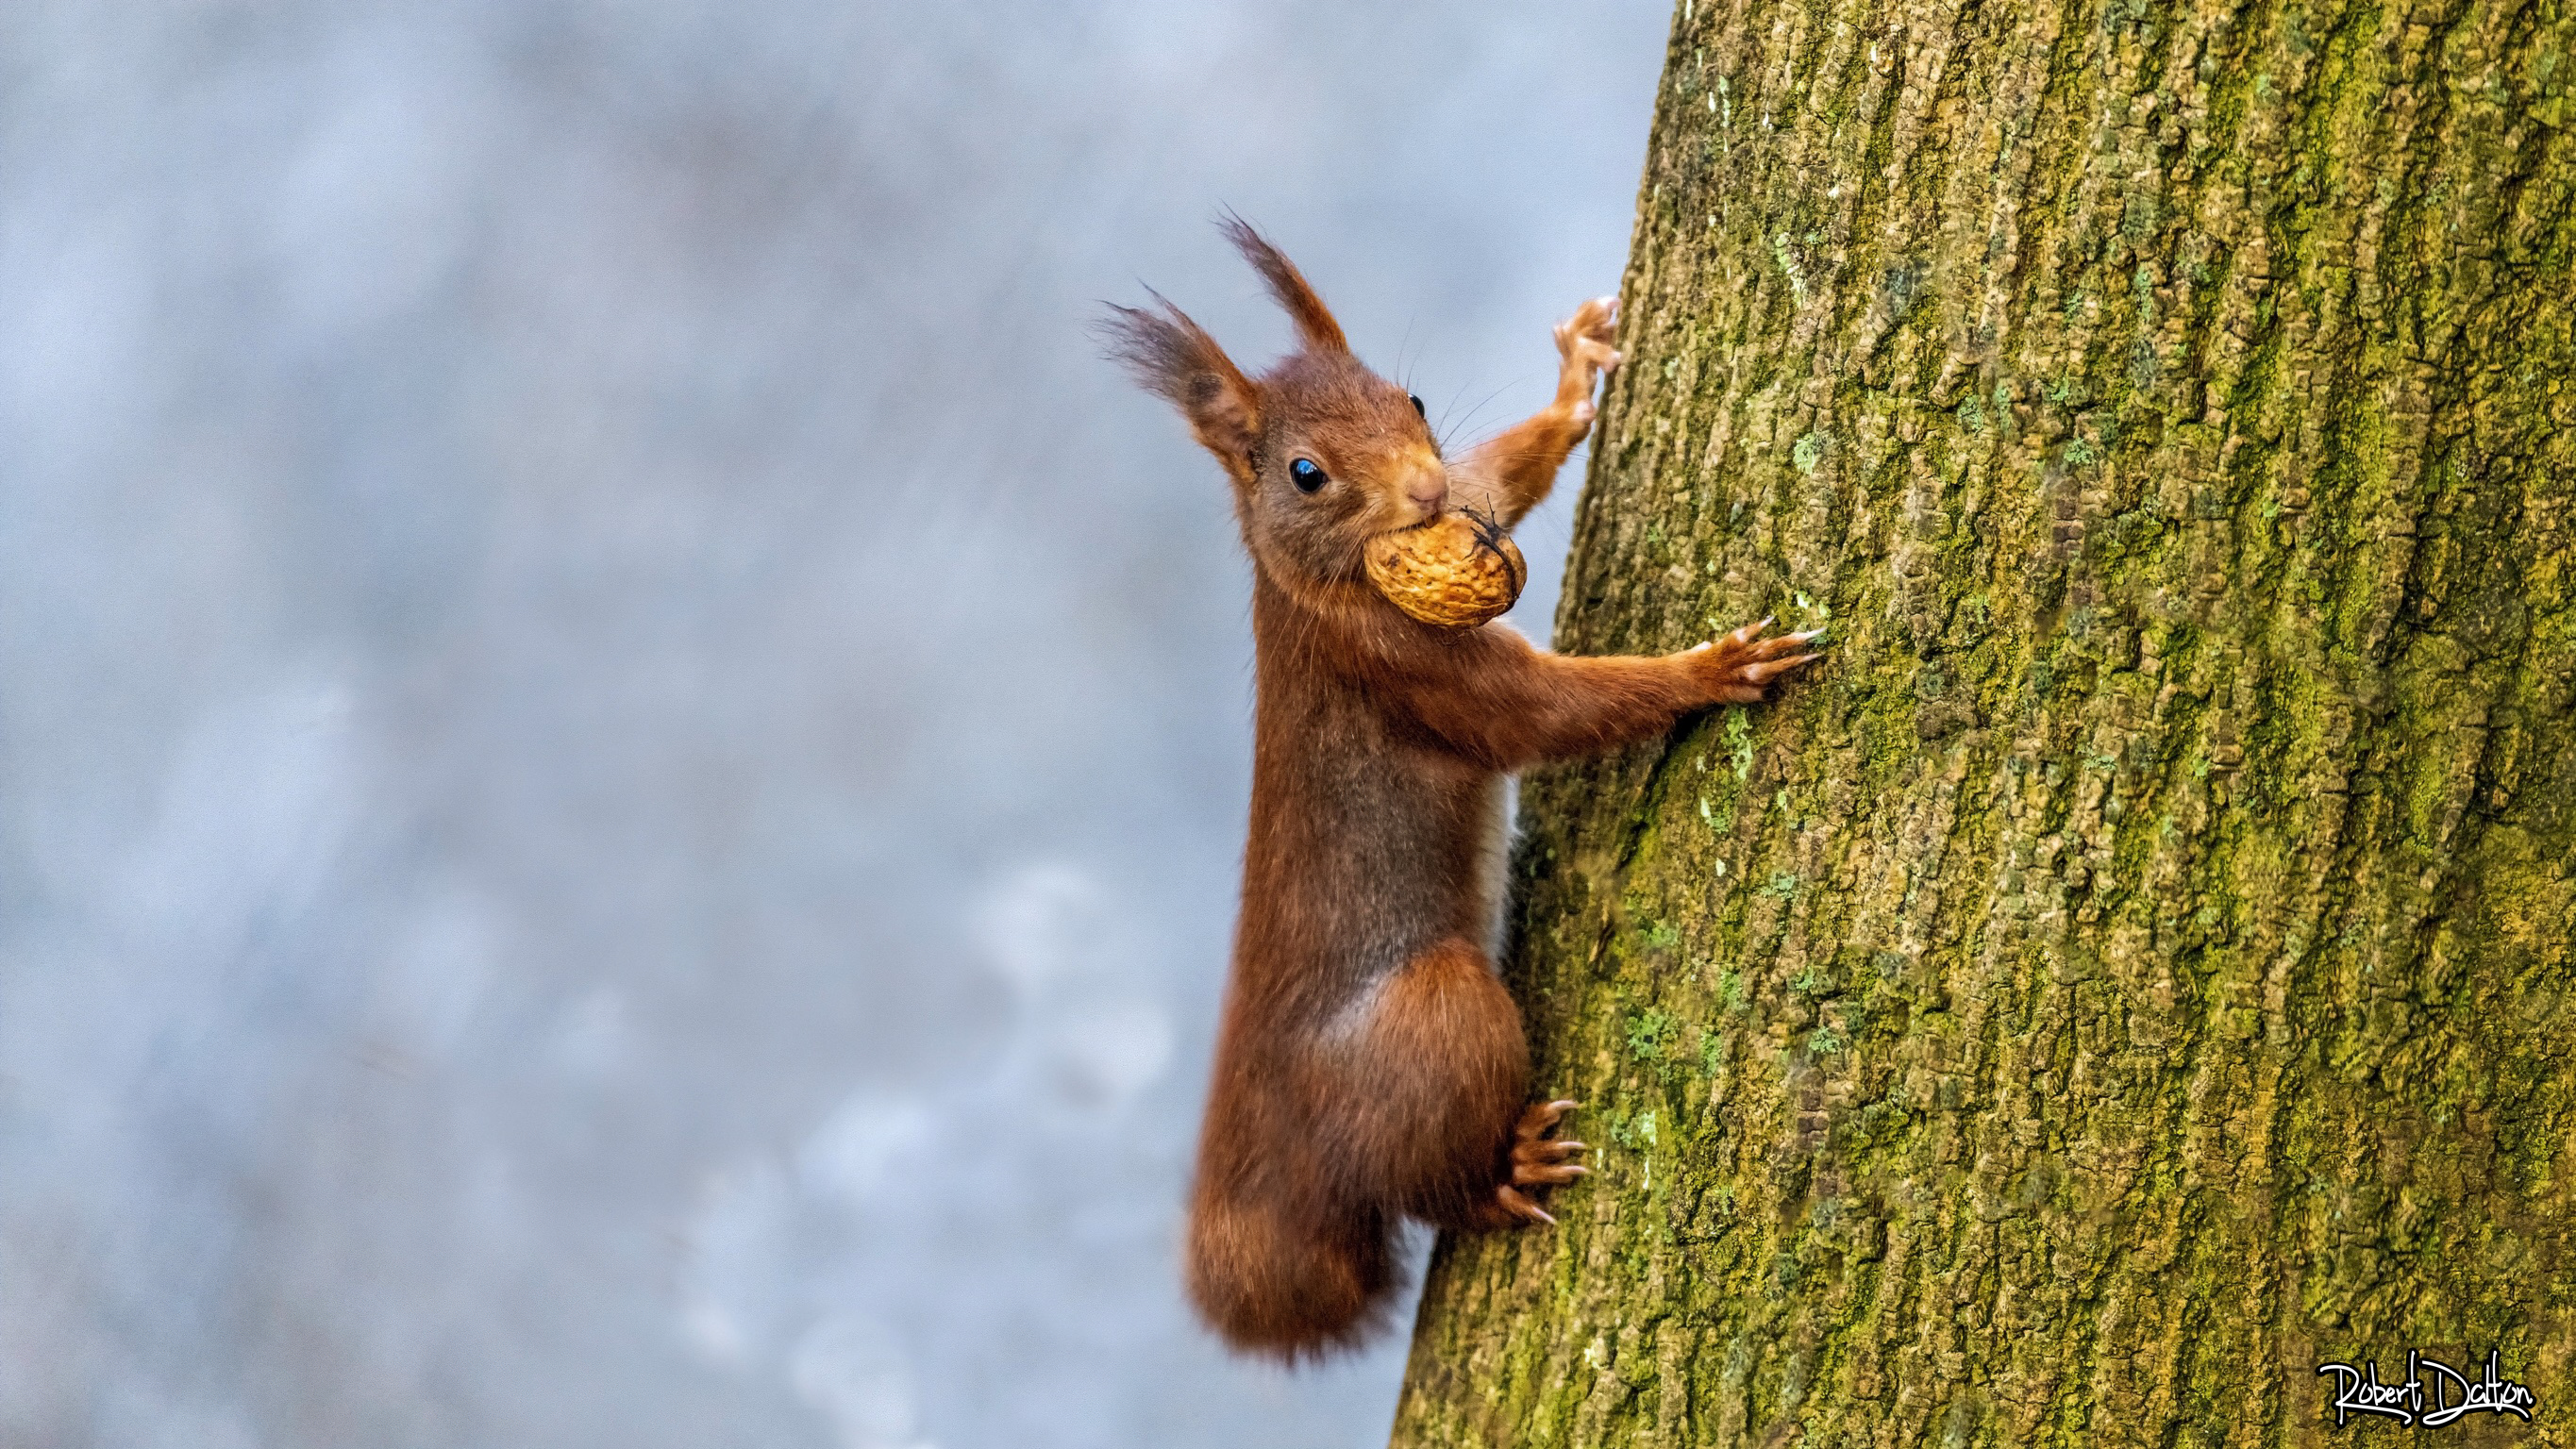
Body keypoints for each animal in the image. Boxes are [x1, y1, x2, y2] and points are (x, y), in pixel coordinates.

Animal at [1101, 219, 1820, 1362]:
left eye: (1415, 400)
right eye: (1305, 473)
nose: (1425, 494)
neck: (1322, 584)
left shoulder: (1466, 512)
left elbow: (1500, 478)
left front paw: (1574, 382)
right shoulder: (1405, 665)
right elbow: (1546, 716)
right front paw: (1709, 672)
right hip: (1436, 1021)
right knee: (1428, 1186)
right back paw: (1502, 1178)